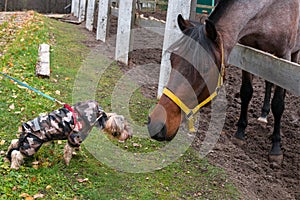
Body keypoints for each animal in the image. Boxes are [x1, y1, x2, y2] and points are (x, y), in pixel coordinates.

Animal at [148, 0, 300, 166]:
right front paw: (240, 133)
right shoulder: (249, 52)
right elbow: (246, 92)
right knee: (268, 82)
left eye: (205, 67)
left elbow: (278, 104)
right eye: (172, 59)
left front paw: (276, 148)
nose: (156, 124)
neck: (270, 9)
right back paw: (263, 114)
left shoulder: (284, 55)